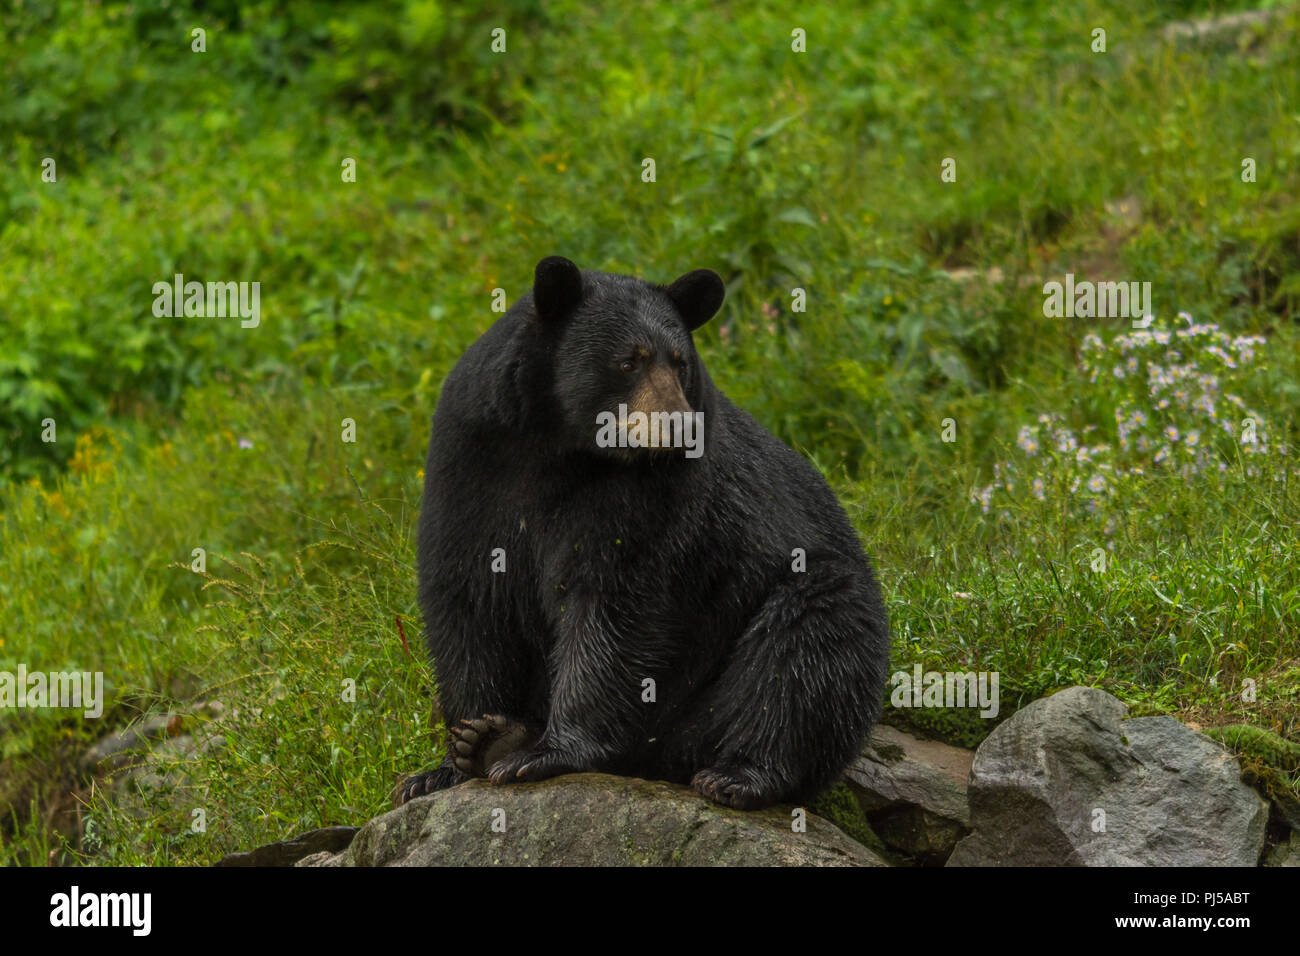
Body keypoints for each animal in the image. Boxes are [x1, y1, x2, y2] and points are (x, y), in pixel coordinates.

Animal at [397, 256, 889, 811]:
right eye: (628, 361)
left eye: (680, 362)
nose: (681, 428)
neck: (559, 447)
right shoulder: (470, 461)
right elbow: (469, 601)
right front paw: (457, 753)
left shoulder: (653, 495)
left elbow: (615, 602)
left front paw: (542, 752)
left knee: (805, 650)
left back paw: (741, 774)